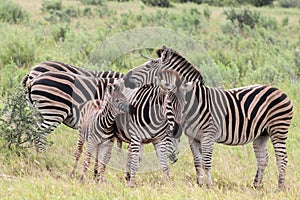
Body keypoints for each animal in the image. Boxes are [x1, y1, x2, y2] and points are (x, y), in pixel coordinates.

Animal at [120, 45, 292, 189]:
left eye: (149, 65)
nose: (126, 77)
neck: (194, 103)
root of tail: (278, 90)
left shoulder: (208, 136)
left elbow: (207, 162)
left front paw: (209, 185)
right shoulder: (193, 138)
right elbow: (198, 162)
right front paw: (200, 184)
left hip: (278, 130)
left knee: (281, 158)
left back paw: (280, 187)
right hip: (261, 134)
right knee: (263, 159)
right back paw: (256, 185)